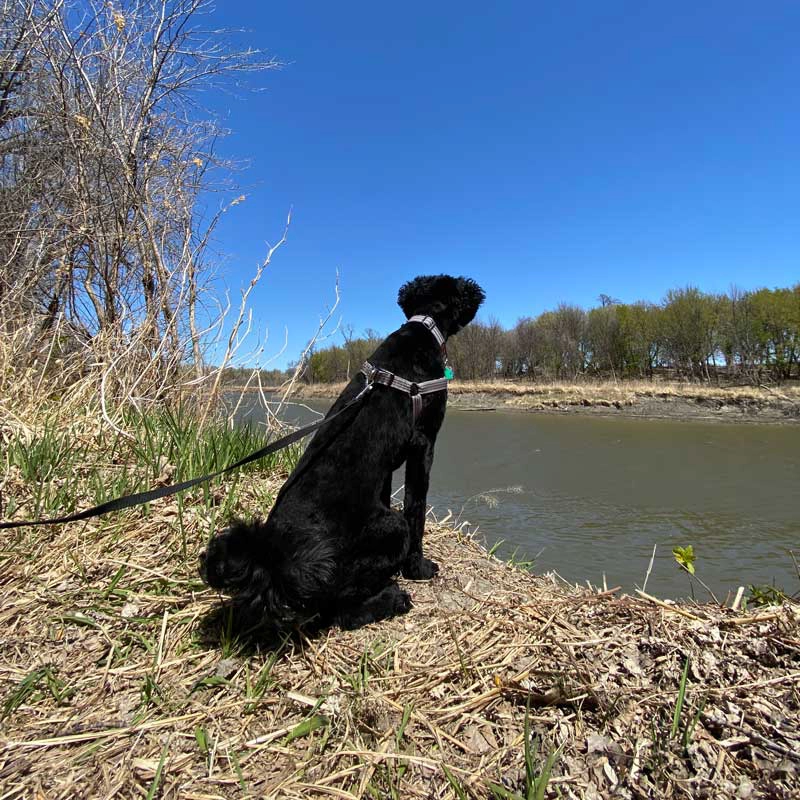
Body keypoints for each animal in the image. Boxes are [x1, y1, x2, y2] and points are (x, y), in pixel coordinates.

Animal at [203, 276, 484, 632]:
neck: (423, 327)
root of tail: (274, 559)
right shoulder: (424, 445)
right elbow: (416, 510)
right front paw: (418, 569)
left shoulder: (387, 469)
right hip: (390, 528)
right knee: (341, 611)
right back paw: (392, 598)